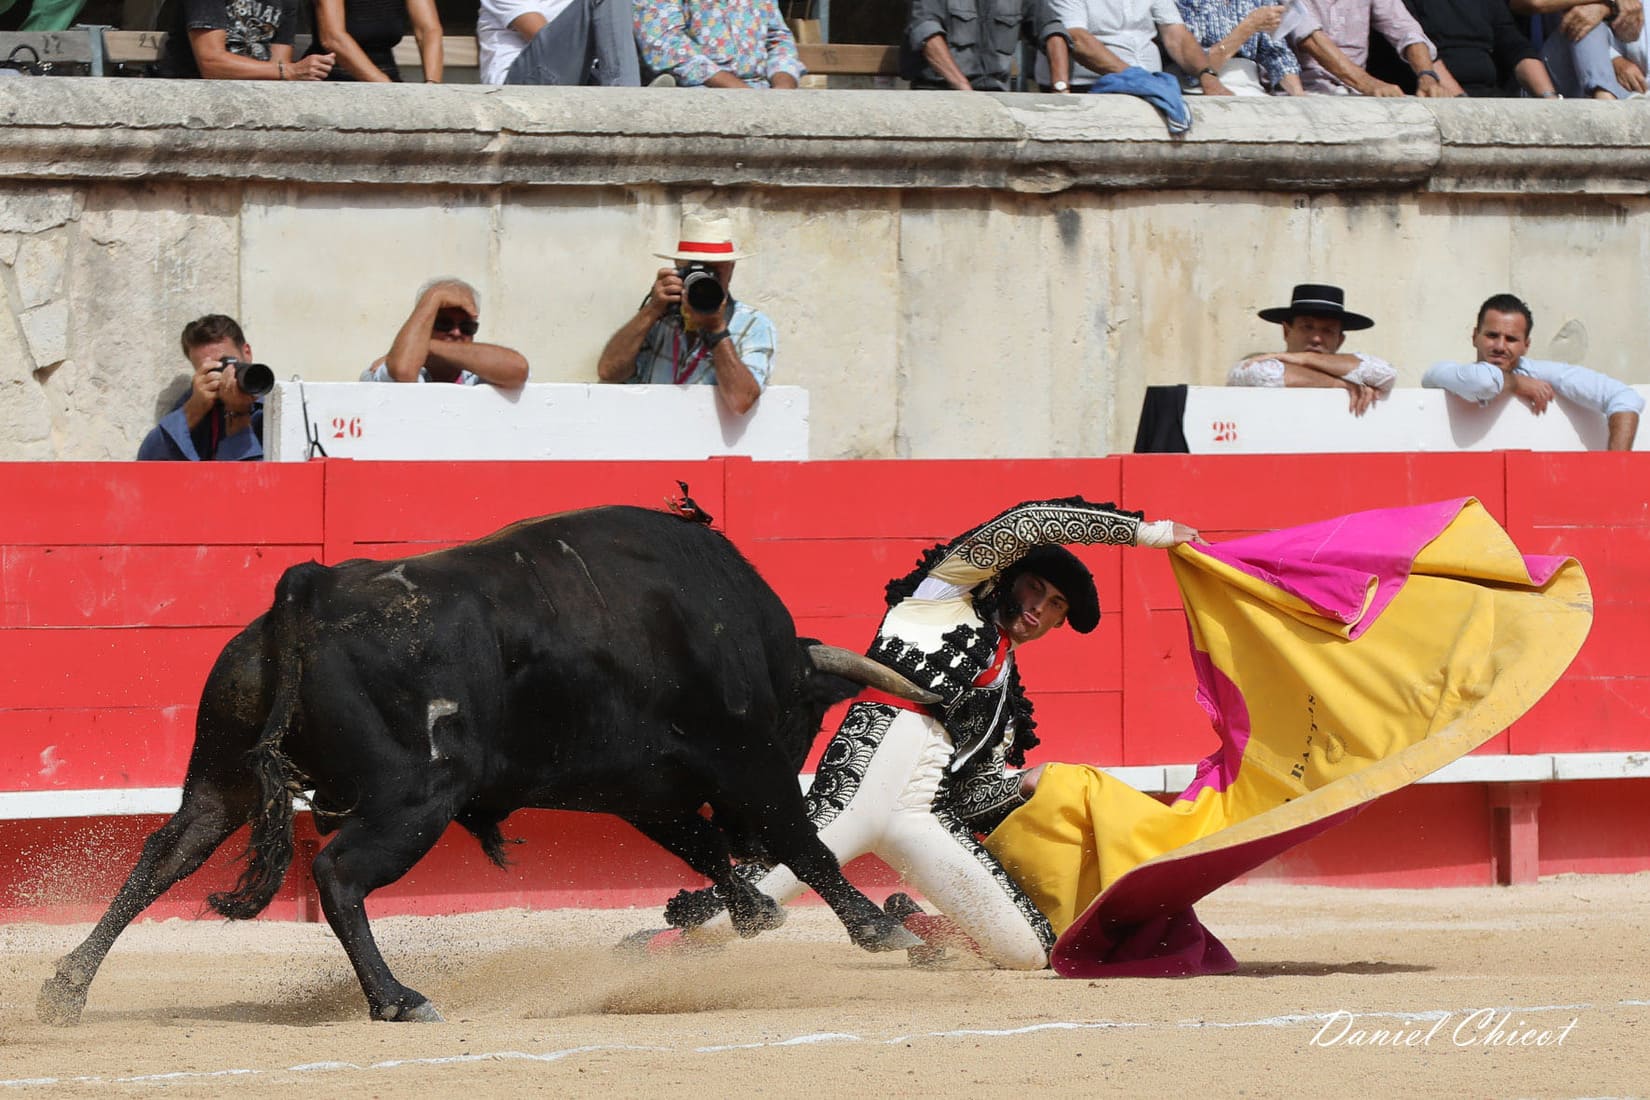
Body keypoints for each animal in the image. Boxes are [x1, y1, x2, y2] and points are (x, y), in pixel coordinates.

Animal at [35, 507, 930, 1022]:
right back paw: (398, 1000)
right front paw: (888, 933)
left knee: (169, 850)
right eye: (807, 721)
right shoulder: (744, 765)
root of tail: (316, 586)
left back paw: (66, 989)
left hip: (222, 772)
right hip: (416, 798)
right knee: (337, 873)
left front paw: (752, 911)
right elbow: (805, 846)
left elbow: (701, 847)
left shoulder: (641, 788)